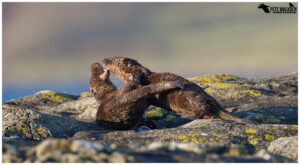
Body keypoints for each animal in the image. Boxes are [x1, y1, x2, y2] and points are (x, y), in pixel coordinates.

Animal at [102, 56, 256, 124]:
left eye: (111, 60)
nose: (103, 60)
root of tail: (212, 100)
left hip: (188, 97)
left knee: (203, 106)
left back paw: (197, 116)